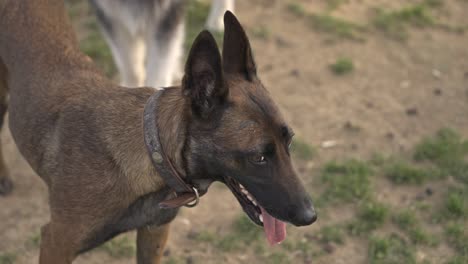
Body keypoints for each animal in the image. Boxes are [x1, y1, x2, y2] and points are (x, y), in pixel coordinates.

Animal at [0, 1, 316, 262]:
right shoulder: (56, 241)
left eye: (289, 142)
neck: (151, 152)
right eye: (257, 157)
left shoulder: (154, 233)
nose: (310, 216)